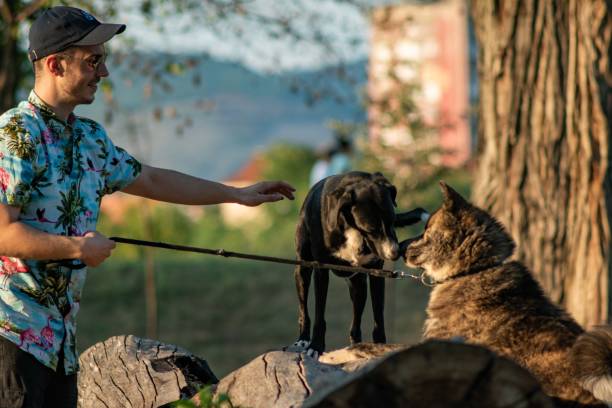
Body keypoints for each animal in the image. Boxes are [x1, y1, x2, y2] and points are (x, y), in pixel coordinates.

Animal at [294, 171, 428, 356]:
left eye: (392, 220)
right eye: (371, 229)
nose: (395, 253)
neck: (353, 230)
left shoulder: (377, 273)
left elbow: (378, 315)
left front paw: (380, 345)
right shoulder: (321, 270)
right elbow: (319, 314)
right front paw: (316, 346)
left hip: (359, 286)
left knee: (355, 322)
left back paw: (356, 345)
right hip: (303, 269)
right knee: (303, 310)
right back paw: (303, 339)